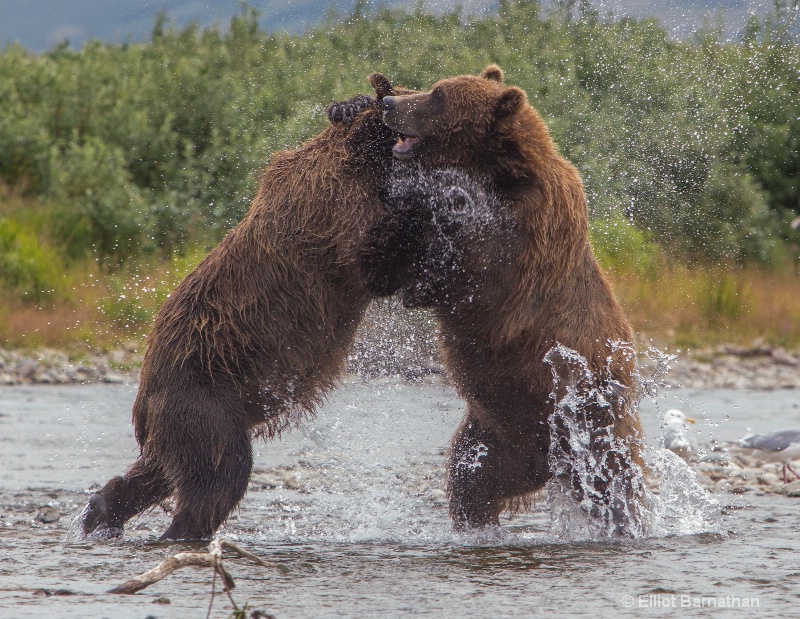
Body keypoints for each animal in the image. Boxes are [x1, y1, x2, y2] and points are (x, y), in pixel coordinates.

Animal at [79, 74, 412, 544]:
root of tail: (143, 396)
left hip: (184, 414)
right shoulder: (337, 218)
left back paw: (102, 511)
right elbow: (377, 256)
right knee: (219, 473)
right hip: (204, 397)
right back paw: (178, 531)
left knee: (160, 470)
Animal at [360, 65, 648, 536]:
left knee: (619, 492)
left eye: (437, 96)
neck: (499, 173)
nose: (388, 103)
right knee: (468, 482)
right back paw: (475, 526)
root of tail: (550, 467)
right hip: (491, 436)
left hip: (592, 427)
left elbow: (472, 263)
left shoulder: (523, 244)